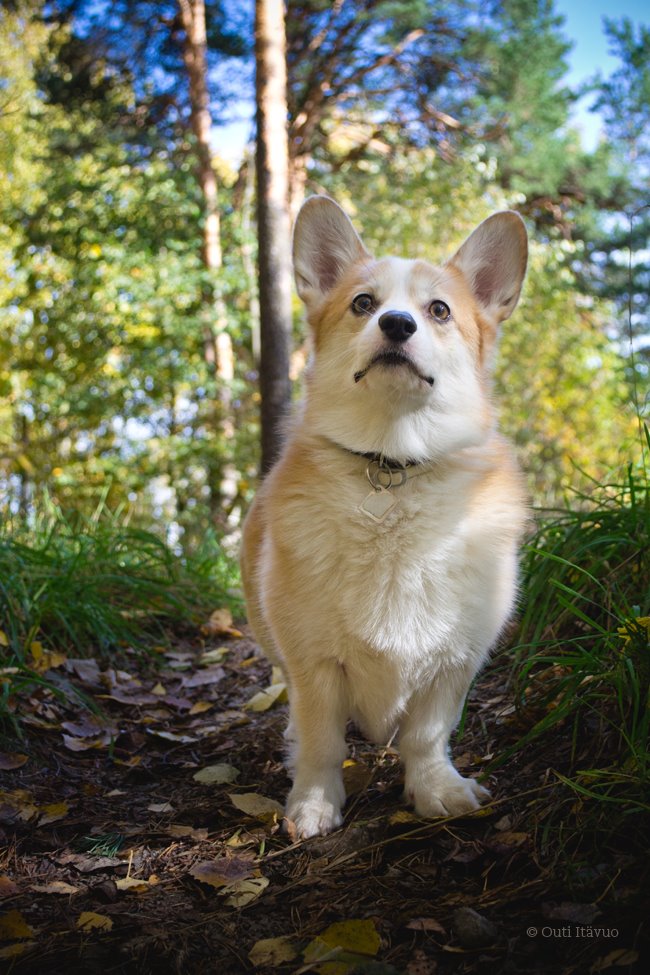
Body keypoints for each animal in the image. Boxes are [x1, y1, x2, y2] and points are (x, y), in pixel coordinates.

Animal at [238, 198, 528, 840]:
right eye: (363, 304)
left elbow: (426, 736)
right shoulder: (315, 663)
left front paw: (437, 790)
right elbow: (322, 741)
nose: (397, 324)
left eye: (439, 310)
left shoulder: (454, 661)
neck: (392, 465)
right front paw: (314, 804)